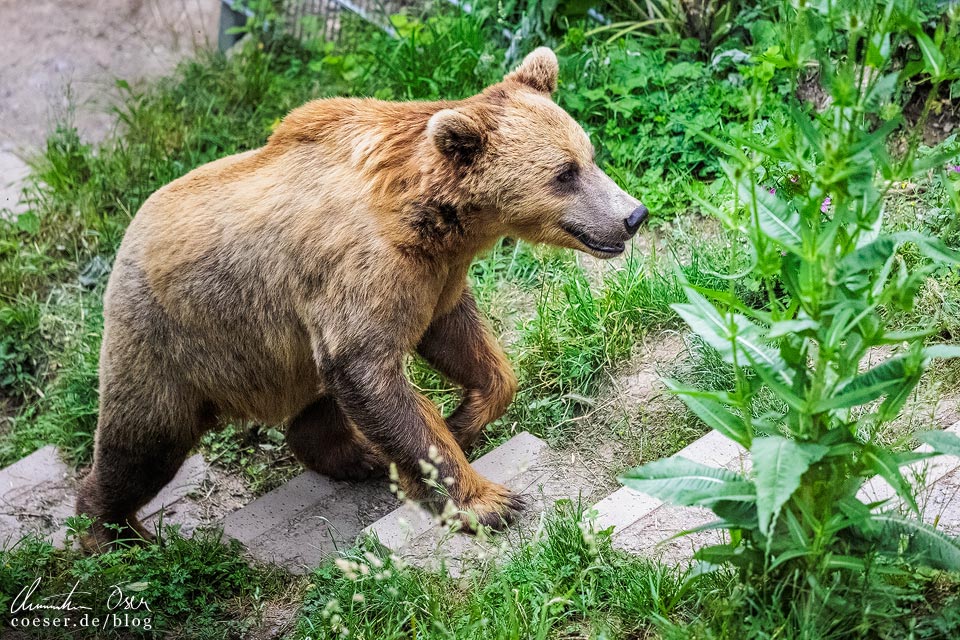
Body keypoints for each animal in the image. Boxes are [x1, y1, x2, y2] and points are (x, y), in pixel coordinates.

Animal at [75, 48, 644, 552]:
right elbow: (368, 370)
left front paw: (463, 417)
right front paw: (488, 501)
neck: (429, 221)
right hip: (174, 339)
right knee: (143, 441)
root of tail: (126, 239)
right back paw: (114, 532)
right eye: (563, 173)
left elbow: (466, 344)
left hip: (282, 352)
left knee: (313, 406)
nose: (632, 215)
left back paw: (362, 453)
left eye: (589, 156)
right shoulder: (359, 272)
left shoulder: (432, 279)